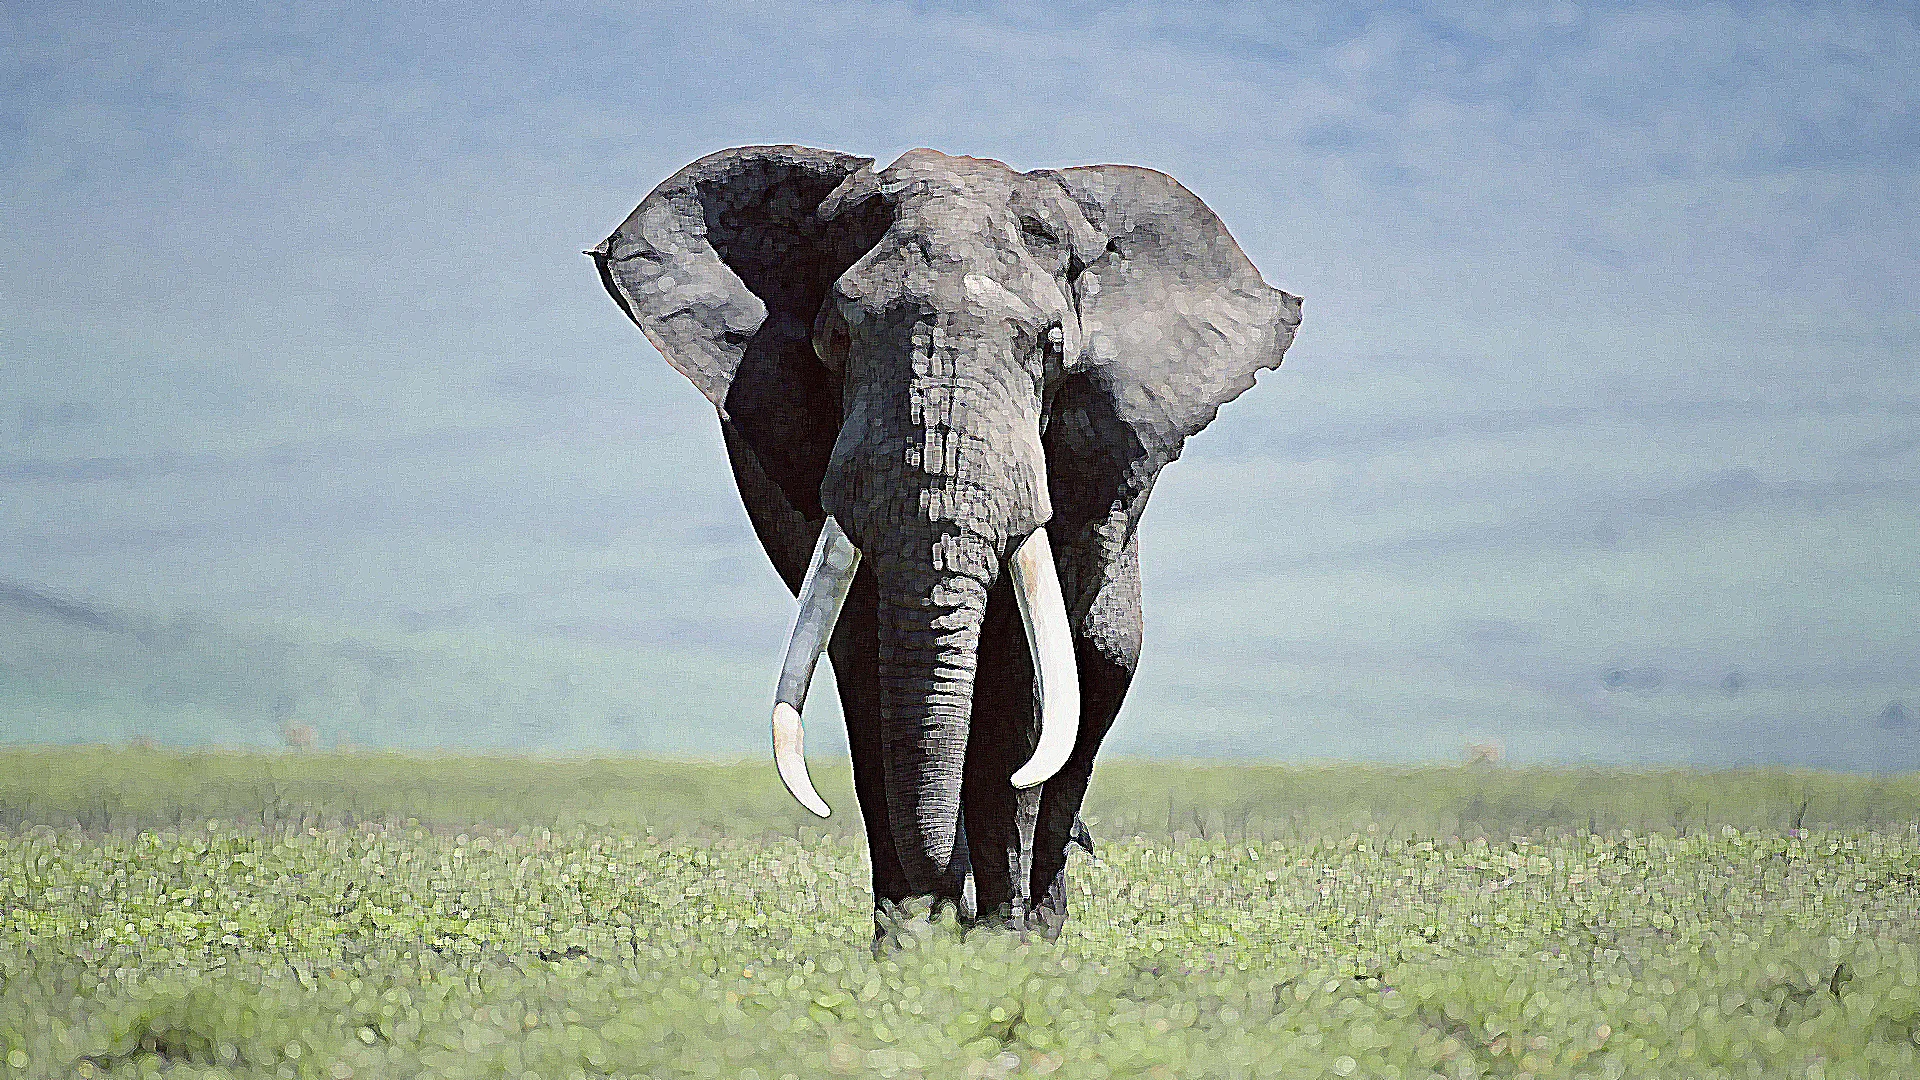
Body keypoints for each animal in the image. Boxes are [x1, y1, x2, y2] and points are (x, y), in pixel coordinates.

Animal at [592, 146, 1300, 939]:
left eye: (1049, 348)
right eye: (836, 340)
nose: (948, 905)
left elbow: (1024, 672)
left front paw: (1000, 941)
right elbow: (866, 653)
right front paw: (911, 940)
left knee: (1102, 661)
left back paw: (1037, 916)